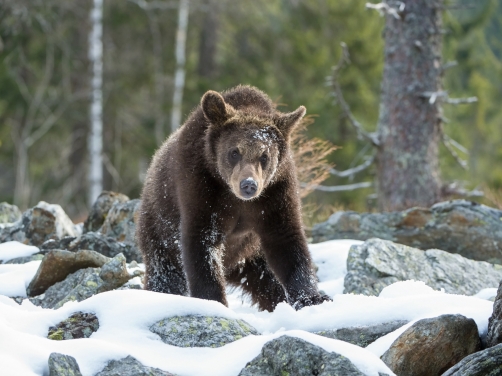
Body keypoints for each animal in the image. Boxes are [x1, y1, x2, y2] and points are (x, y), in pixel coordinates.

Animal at [137, 85, 332, 312]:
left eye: (264, 156)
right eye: (234, 152)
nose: (248, 184)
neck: (235, 197)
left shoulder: (275, 194)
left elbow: (287, 243)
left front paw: (312, 298)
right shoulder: (200, 189)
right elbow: (201, 245)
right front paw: (213, 300)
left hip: (251, 256)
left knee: (268, 281)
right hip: (159, 229)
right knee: (165, 274)